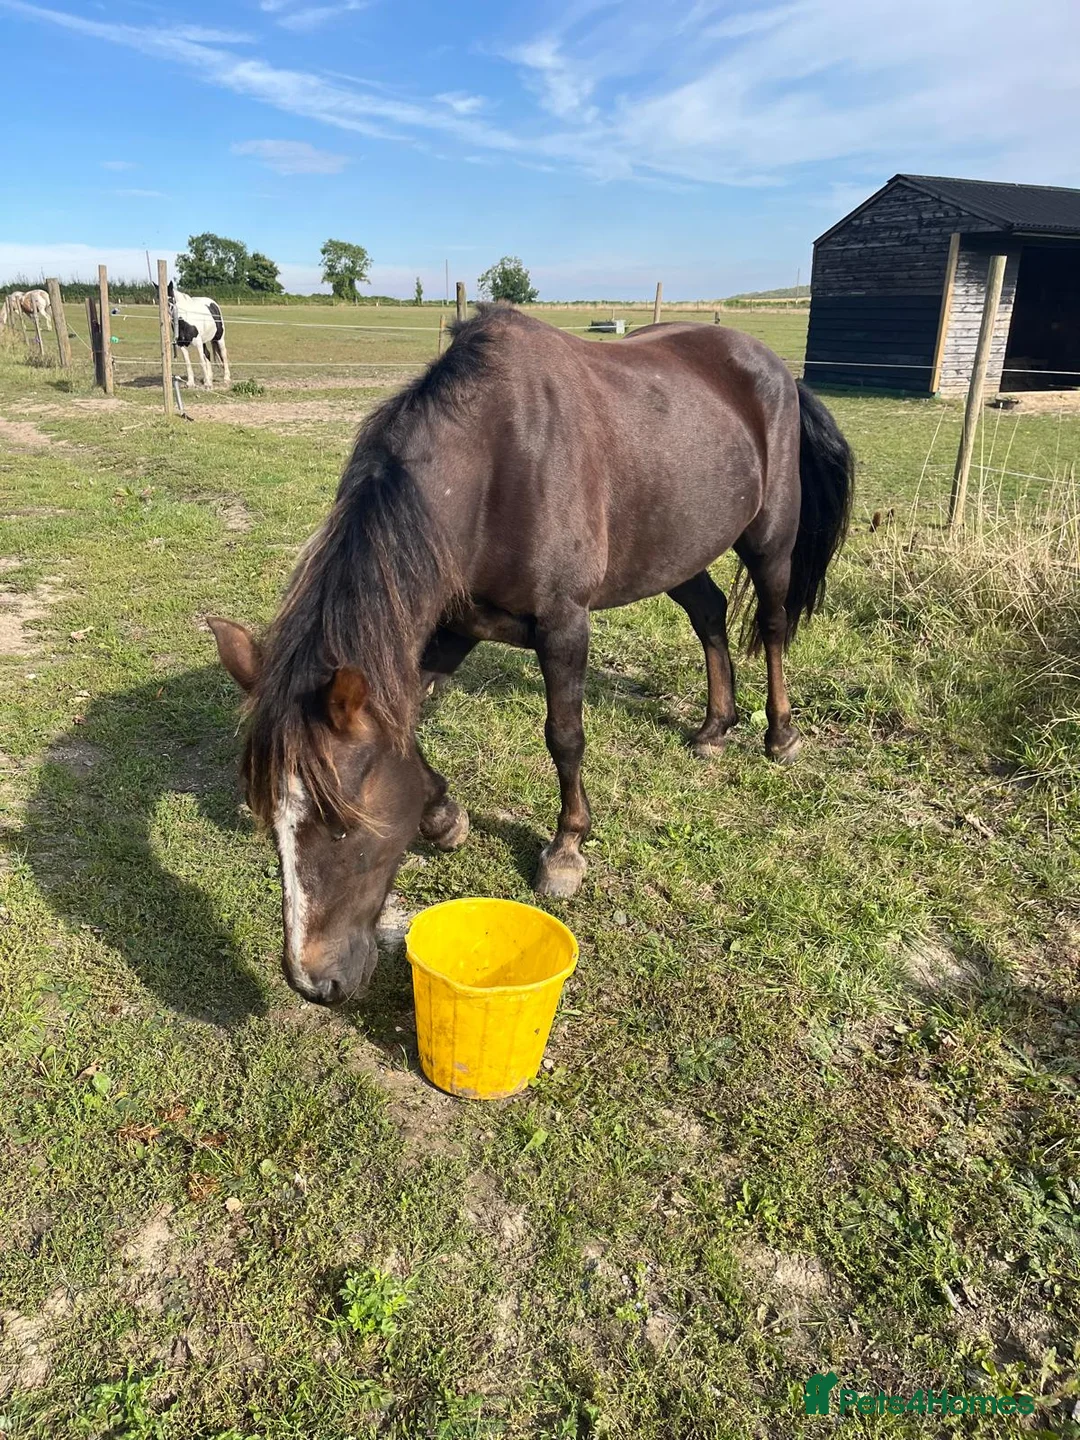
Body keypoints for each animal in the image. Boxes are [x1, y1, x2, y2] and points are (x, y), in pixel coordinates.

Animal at [209, 306, 854, 1005]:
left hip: (770, 536)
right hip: (675, 548)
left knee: (772, 625)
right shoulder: (453, 628)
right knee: (709, 613)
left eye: (342, 824)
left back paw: (780, 734)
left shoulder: (564, 624)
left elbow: (564, 737)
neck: (494, 467)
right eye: (268, 817)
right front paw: (444, 818)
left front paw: (566, 851)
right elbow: (412, 729)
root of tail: (776, 369)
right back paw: (714, 727)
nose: (313, 981)